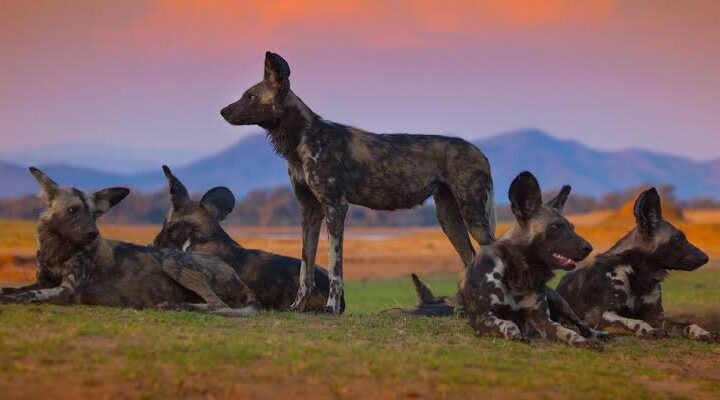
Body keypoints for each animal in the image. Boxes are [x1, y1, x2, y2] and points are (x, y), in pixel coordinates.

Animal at [0, 168, 259, 318]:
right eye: (73, 210)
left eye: (95, 215)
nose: (93, 234)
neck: (57, 250)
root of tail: (237, 276)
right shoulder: (43, 281)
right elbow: (17, 288)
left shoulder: (67, 291)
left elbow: (29, 295)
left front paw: (13, 299)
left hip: (172, 261)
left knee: (218, 305)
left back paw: (177, 306)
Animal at [221, 52, 495, 314]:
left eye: (251, 97)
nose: (223, 111)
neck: (302, 138)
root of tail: (479, 151)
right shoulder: (309, 211)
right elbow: (305, 267)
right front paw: (297, 307)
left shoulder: (335, 207)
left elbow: (335, 267)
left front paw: (331, 308)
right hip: (449, 221)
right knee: (471, 259)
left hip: (474, 219)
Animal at [459, 171, 604, 349]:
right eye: (555, 227)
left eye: (572, 228)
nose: (589, 248)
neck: (518, 272)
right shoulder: (483, 317)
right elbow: (508, 323)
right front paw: (515, 334)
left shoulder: (543, 320)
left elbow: (569, 332)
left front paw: (583, 342)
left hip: (560, 302)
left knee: (582, 325)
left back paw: (600, 335)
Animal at [556, 188, 717, 341]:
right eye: (678, 238)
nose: (706, 258)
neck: (640, 274)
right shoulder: (606, 316)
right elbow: (635, 321)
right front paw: (649, 331)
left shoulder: (656, 317)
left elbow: (687, 324)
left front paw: (703, 332)